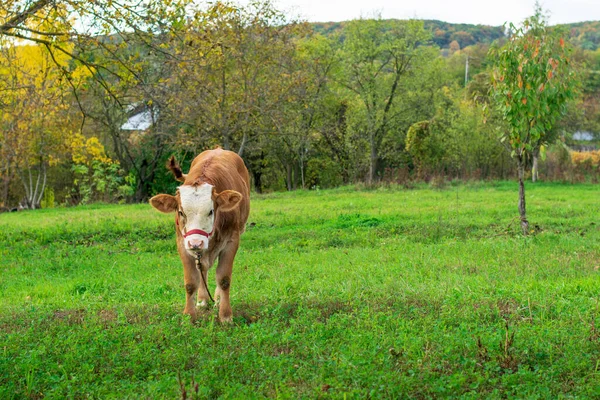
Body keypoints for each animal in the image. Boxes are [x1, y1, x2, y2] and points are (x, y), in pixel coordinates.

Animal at [151, 148, 252, 324]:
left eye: (211, 211)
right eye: (181, 212)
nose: (196, 243)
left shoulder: (232, 241)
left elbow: (224, 279)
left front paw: (225, 315)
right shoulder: (182, 243)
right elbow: (191, 281)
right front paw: (189, 315)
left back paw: (217, 299)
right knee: (202, 269)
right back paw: (203, 300)